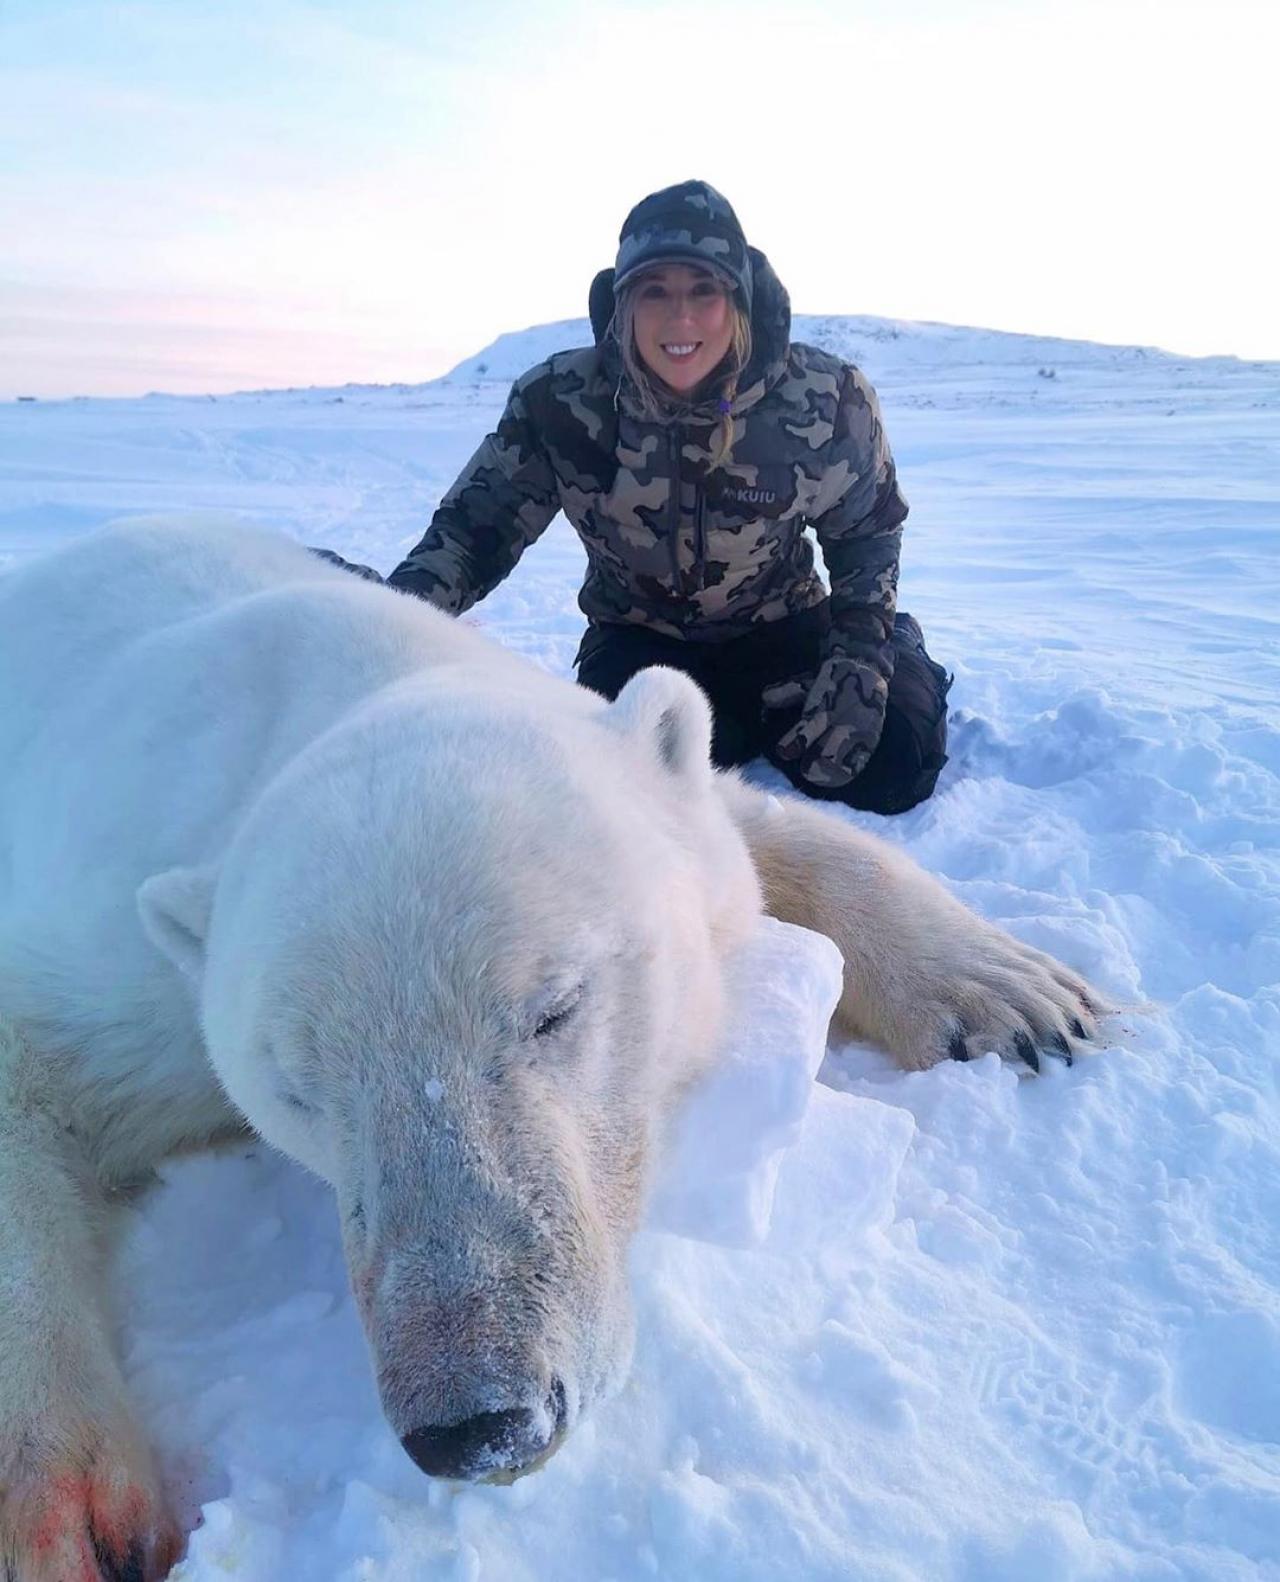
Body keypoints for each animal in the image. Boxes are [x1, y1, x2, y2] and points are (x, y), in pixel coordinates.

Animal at [0, 518, 1101, 1582]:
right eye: (301, 1088)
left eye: (555, 1008)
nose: (476, 1423)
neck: (343, 675)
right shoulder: (118, 959)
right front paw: (70, 1516)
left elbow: (754, 827)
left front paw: (1017, 995)